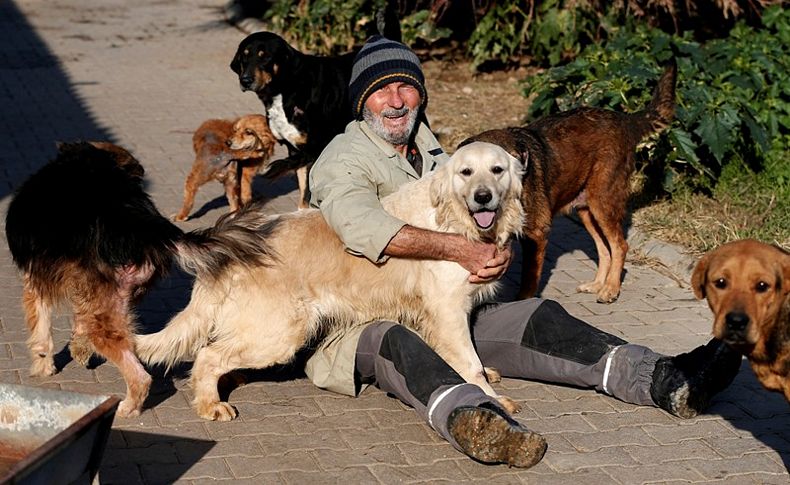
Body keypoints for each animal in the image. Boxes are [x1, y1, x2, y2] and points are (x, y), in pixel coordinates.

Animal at [136, 141, 524, 420]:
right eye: (466, 172)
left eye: (497, 170)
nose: (483, 196)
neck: (454, 219)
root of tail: (230, 249)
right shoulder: (447, 310)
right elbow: (469, 364)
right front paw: (493, 400)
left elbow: (467, 358)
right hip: (280, 333)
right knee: (207, 356)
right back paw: (209, 404)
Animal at [460, 61, 676, 302]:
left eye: (504, 169)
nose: (484, 197)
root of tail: (623, 119)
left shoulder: (536, 234)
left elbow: (528, 281)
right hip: (587, 211)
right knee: (604, 249)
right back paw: (598, 284)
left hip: (602, 202)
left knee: (620, 245)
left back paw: (611, 289)